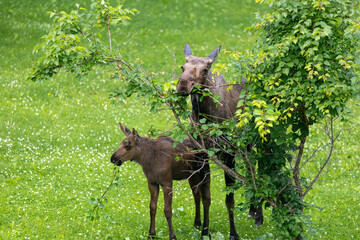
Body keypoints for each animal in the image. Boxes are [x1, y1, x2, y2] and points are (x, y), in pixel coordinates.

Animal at [176, 42, 262, 239]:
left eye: (205, 69)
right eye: (183, 67)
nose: (183, 85)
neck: (206, 116)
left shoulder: (228, 153)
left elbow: (230, 199)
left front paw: (233, 233)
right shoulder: (202, 155)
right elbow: (206, 197)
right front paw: (205, 231)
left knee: (259, 170)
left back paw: (258, 216)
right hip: (245, 146)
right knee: (250, 168)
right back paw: (252, 210)